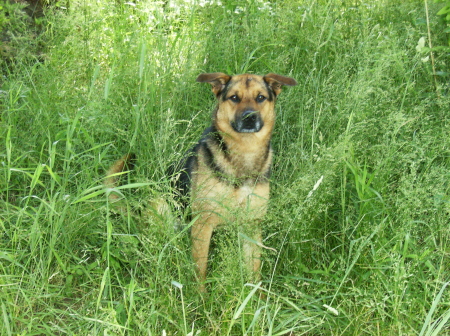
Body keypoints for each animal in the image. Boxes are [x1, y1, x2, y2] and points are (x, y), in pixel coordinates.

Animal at [103, 73, 298, 292]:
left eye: (261, 97)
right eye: (234, 97)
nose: (249, 117)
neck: (244, 153)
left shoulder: (252, 224)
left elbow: (254, 271)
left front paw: (256, 298)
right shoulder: (203, 223)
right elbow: (200, 268)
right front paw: (200, 297)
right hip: (163, 208)